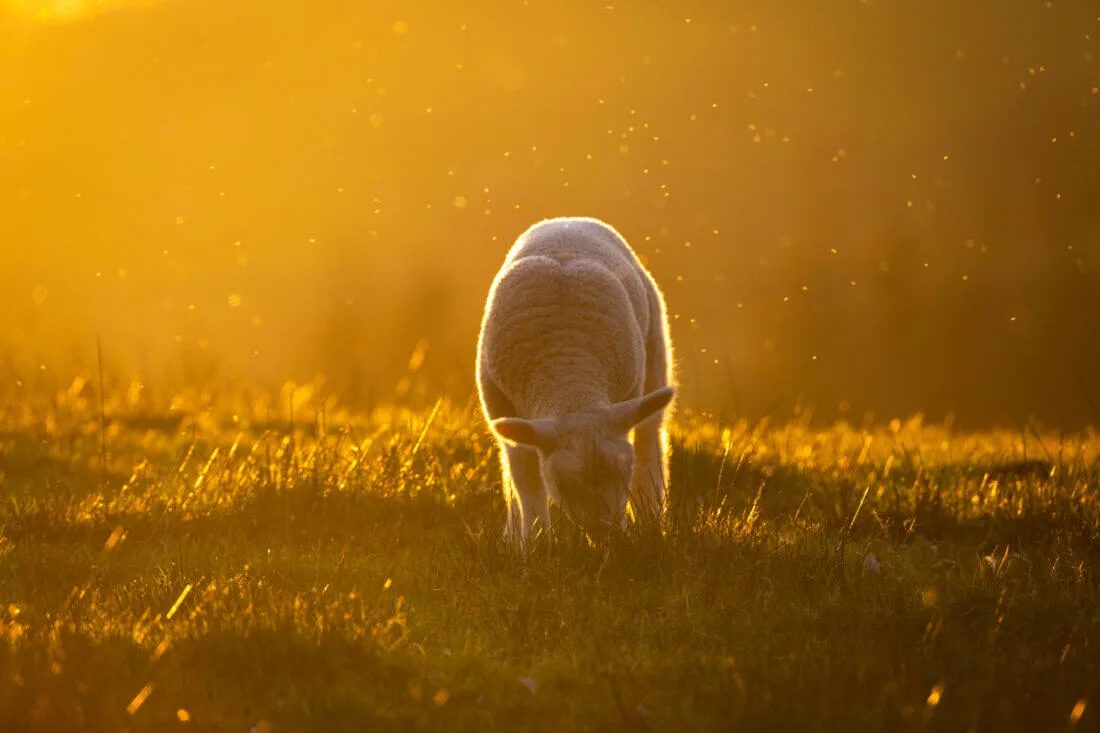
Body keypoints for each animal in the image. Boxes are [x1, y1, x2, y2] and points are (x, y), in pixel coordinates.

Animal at [476, 216, 676, 547]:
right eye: (560, 484)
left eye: (624, 473)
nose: (607, 538)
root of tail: (566, 221)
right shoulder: (502, 407)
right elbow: (526, 483)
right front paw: (534, 543)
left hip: (654, 355)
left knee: (650, 436)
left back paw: (651, 518)